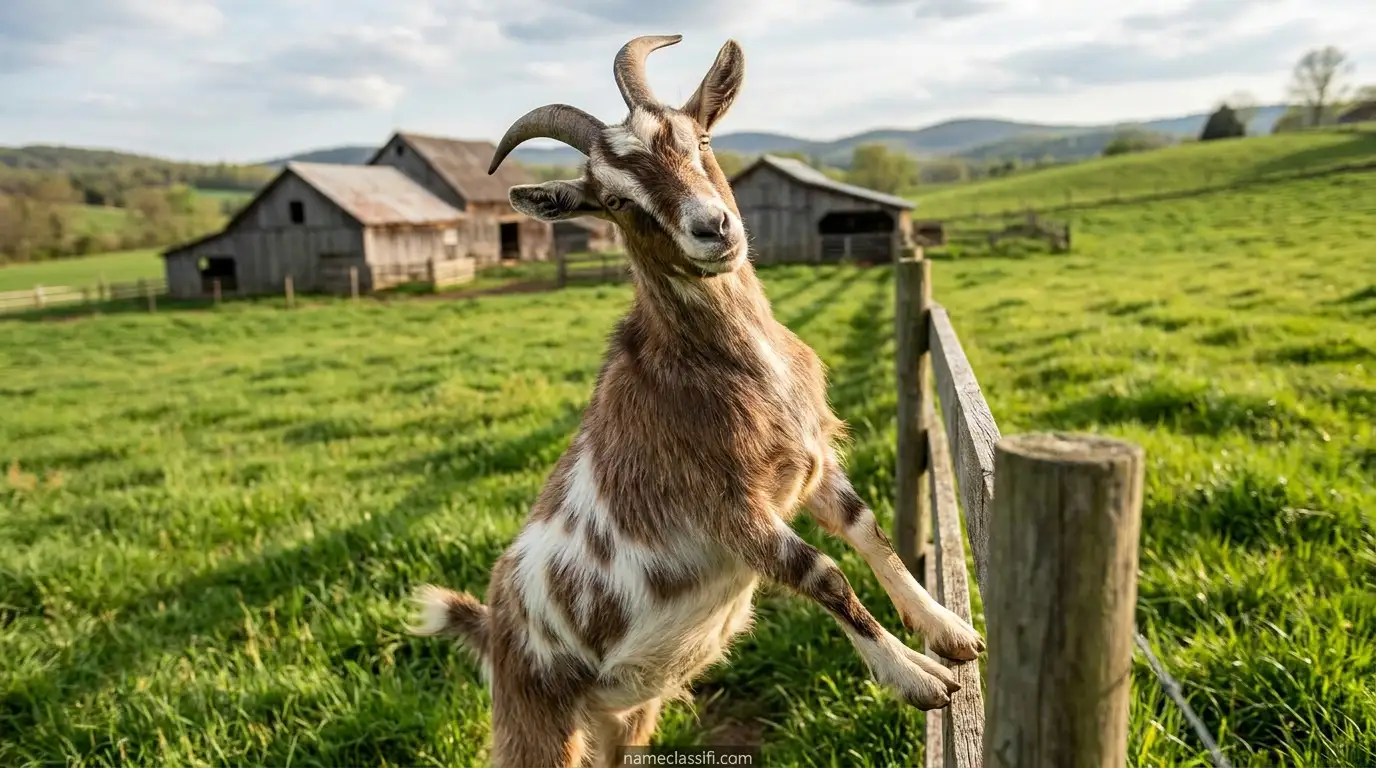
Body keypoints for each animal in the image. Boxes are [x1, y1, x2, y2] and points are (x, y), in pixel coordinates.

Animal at [407, 34, 985, 767]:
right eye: (614, 200)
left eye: (701, 138)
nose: (714, 228)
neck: (731, 365)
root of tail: (490, 625)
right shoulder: (728, 508)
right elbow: (823, 573)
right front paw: (917, 678)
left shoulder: (810, 462)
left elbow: (866, 528)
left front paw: (947, 632)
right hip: (533, 720)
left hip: (627, 713)